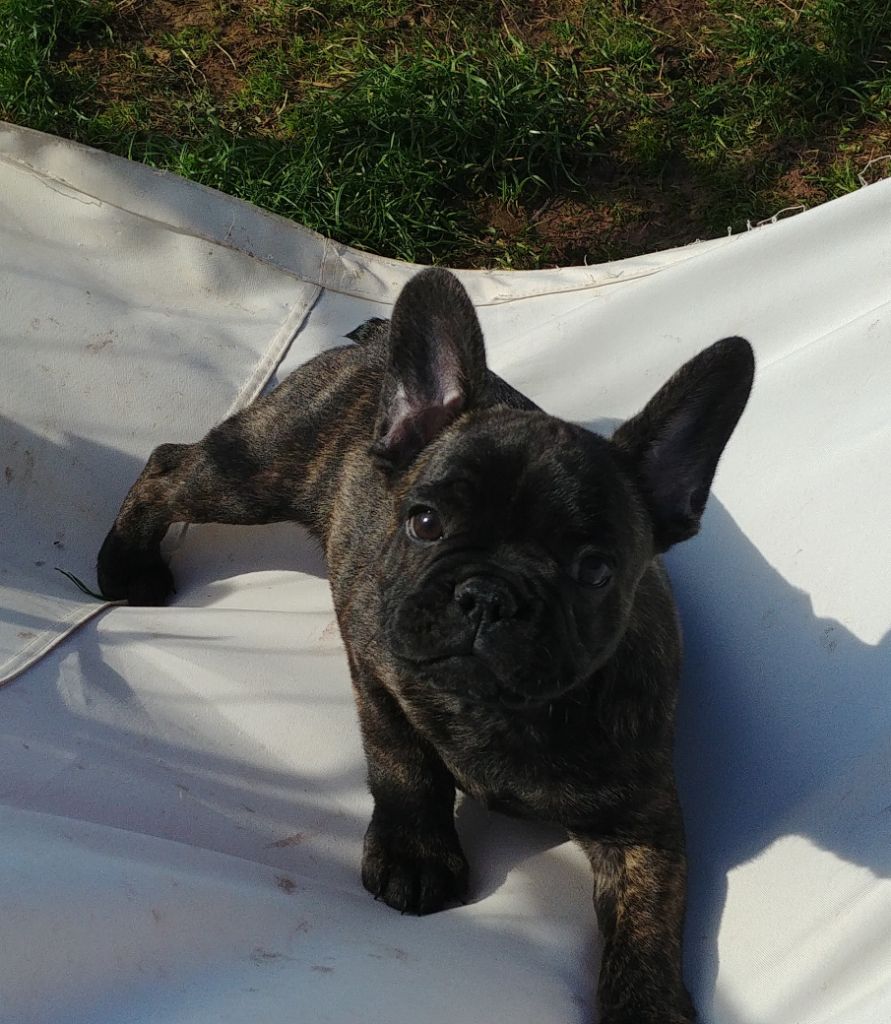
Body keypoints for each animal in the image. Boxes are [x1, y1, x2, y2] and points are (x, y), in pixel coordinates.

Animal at [97, 267, 754, 1023]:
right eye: (424, 523)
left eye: (595, 570)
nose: (488, 594)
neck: (498, 711)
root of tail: (373, 343)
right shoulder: (377, 668)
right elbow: (402, 759)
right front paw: (415, 854)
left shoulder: (644, 819)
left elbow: (648, 918)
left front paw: (644, 1006)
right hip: (255, 471)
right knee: (168, 467)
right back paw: (125, 565)